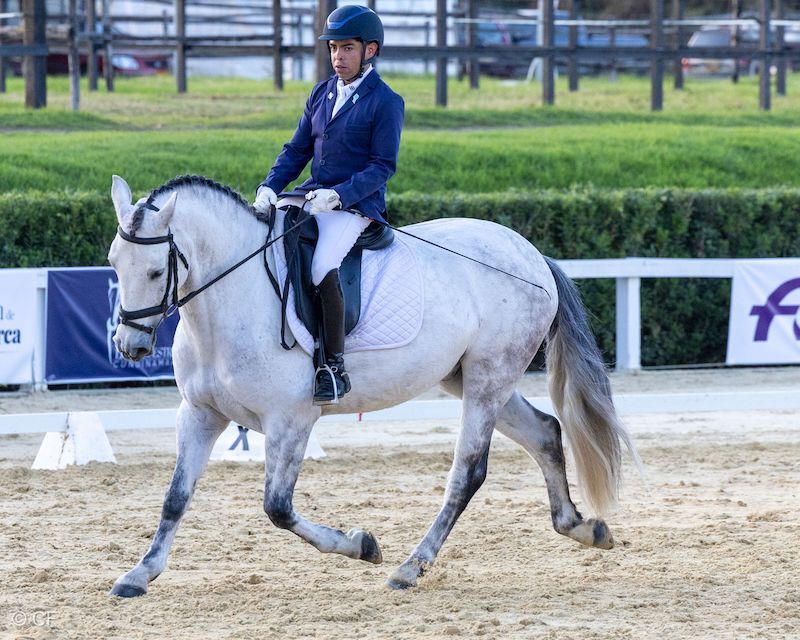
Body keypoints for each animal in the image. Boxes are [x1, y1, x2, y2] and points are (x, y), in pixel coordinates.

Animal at [107, 174, 637, 597]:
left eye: (155, 271)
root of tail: (532, 255)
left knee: (468, 471)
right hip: (473, 378)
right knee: (545, 431)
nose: (130, 346)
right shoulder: (199, 414)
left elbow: (278, 507)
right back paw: (582, 528)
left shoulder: (291, 420)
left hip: (491, 377)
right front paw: (139, 574)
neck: (230, 301)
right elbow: (176, 496)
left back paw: (410, 567)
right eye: (113, 263)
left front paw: (361, 545)